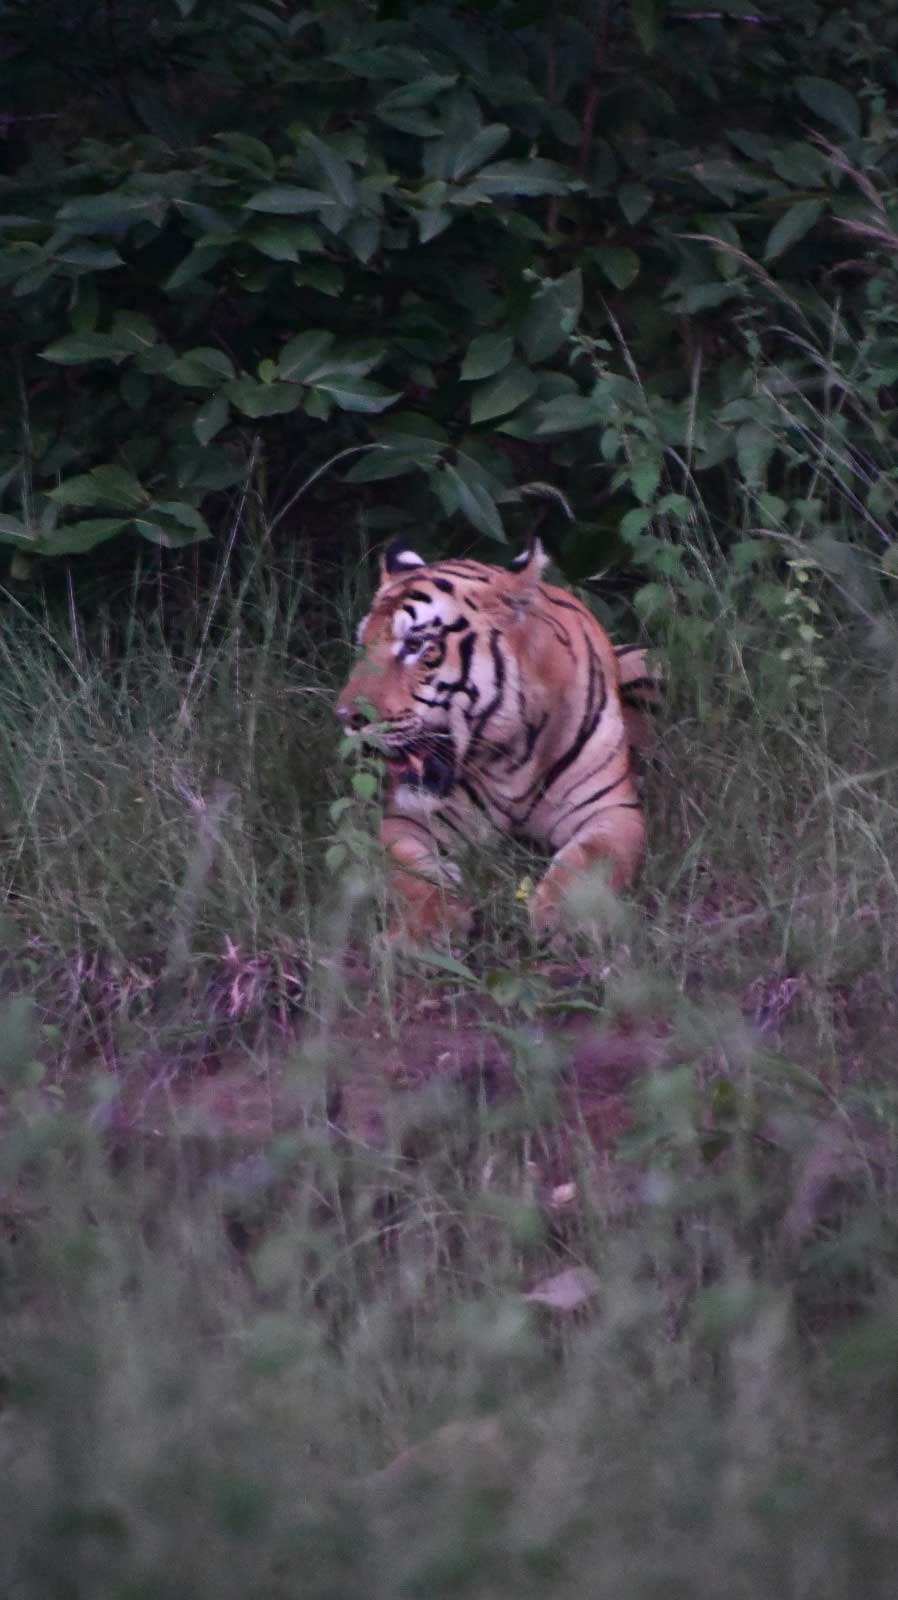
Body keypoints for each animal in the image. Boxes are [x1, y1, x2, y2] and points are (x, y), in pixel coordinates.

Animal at [335, 537, 658, 941]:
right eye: (363, 644)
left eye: (414, 645)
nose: (345, 717)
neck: (511, 757)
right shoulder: (406, 818)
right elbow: (408, 874)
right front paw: (429, 927)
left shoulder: (613, 811)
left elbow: (588, 862)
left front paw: (562, 919)